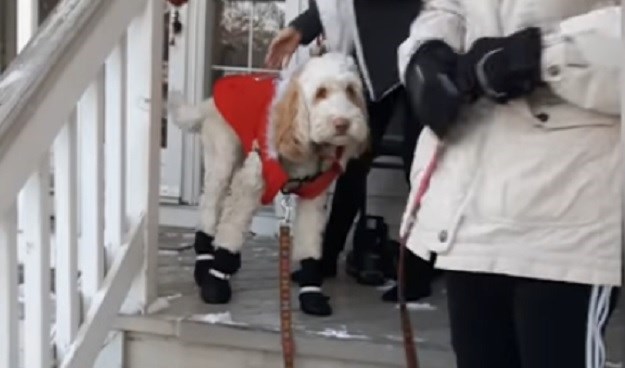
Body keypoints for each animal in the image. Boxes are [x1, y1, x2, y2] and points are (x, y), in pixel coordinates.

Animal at [168, 52, 368, 316]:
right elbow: (231, 230)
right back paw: (204, 265)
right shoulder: (250, 184)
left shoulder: (313, 197)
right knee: (210, 211)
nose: (342, 123)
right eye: (321, 92)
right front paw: (216, 281)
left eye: (351, 91)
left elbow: (309, 242)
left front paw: (311, 292)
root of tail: (209, 101)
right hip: (222, 160)